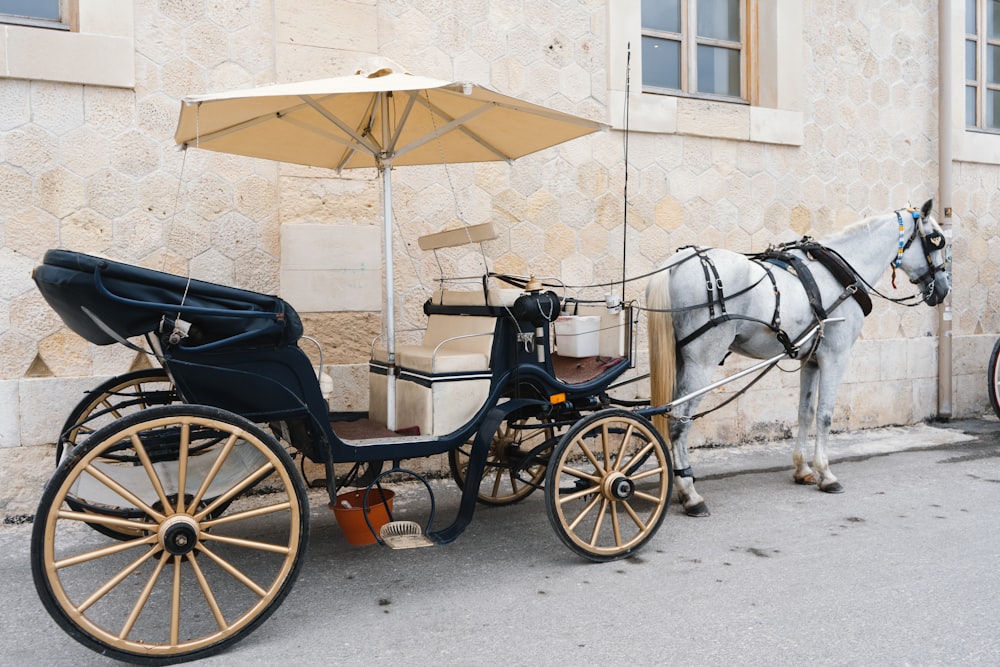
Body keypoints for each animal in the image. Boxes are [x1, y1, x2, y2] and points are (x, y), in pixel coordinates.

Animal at [644, 201, 948, 520]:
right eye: (936, 239)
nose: (943, 287)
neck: (840, 274)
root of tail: (677, 263)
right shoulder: (836, 357)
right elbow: (825, 415)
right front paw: (826, 474)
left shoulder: (811, 360)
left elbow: (805, 412)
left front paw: (803, 469)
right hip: (702, 363)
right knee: (679, 422)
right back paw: (690, 494)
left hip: (680, 358)